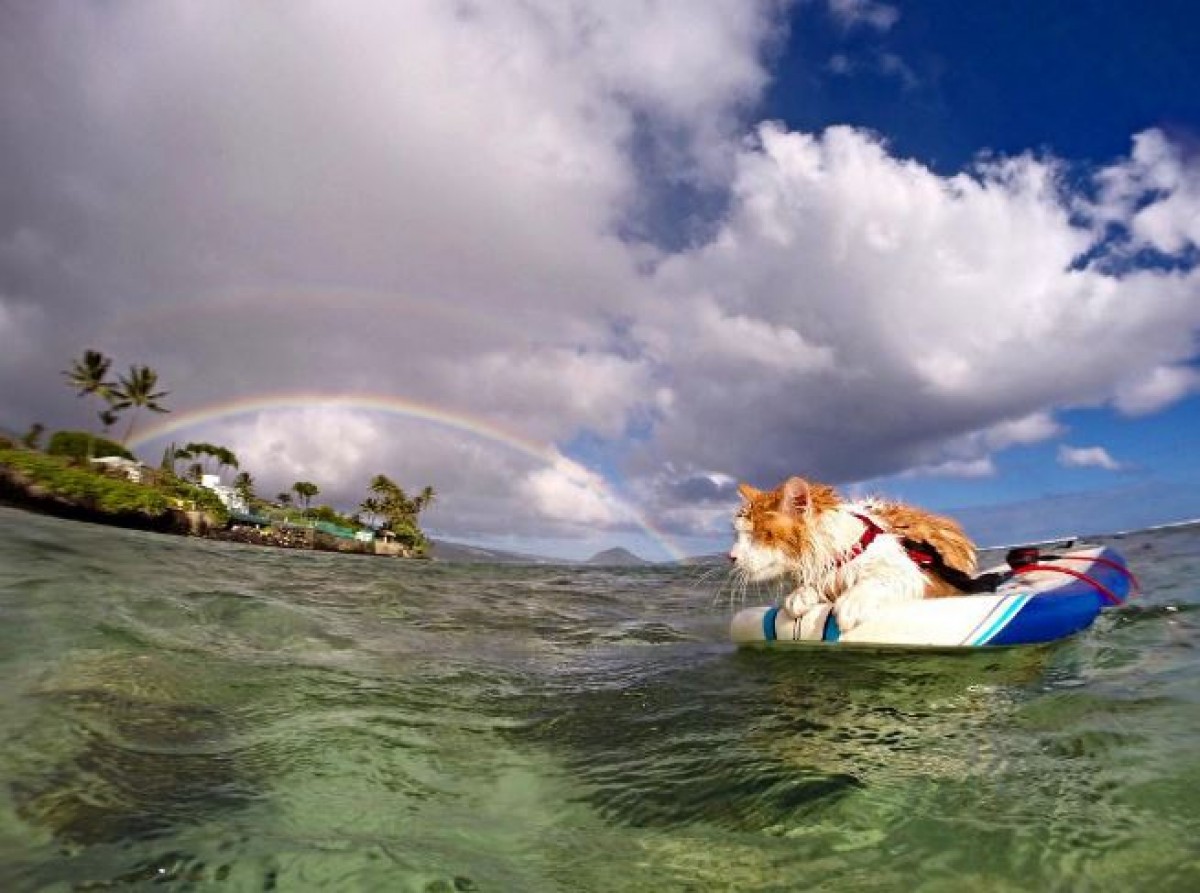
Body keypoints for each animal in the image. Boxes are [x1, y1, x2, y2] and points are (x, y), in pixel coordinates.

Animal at [729, 477, 974, 633]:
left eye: (758, 534)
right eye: (738, 534)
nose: (731, 556)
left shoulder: (914, 574)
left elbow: (877, 579)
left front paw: (853, 600)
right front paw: (799, 594)